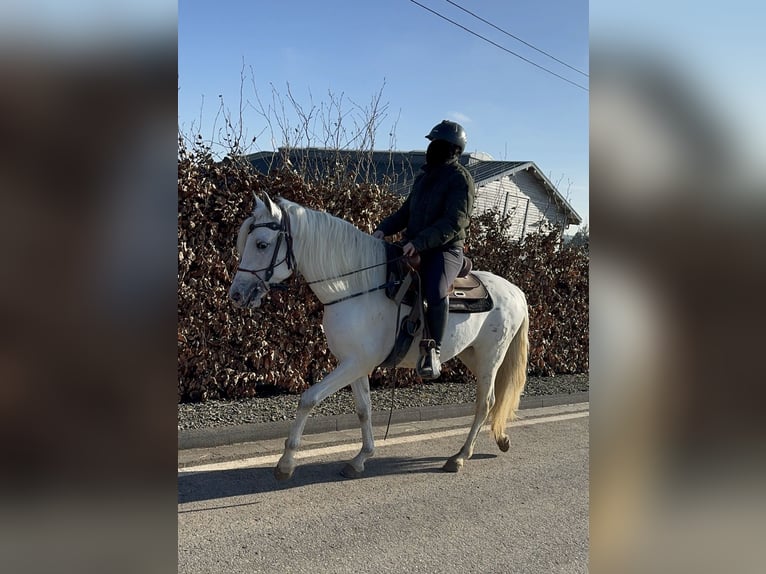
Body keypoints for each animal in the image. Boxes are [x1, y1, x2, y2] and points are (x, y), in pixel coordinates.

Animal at [228, 192, 528, 482]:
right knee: (493, 399)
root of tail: (515, 291)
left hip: (491, 356)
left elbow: (308, 399)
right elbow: (364, 409)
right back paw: (501, 438)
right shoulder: (355, 364)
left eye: (262, 244)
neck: (357, 288)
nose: (236, 295)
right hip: (471, 355)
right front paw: (361, 458)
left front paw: (286, 463)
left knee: (485, 402)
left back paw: (460, 456)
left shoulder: (355, 364)